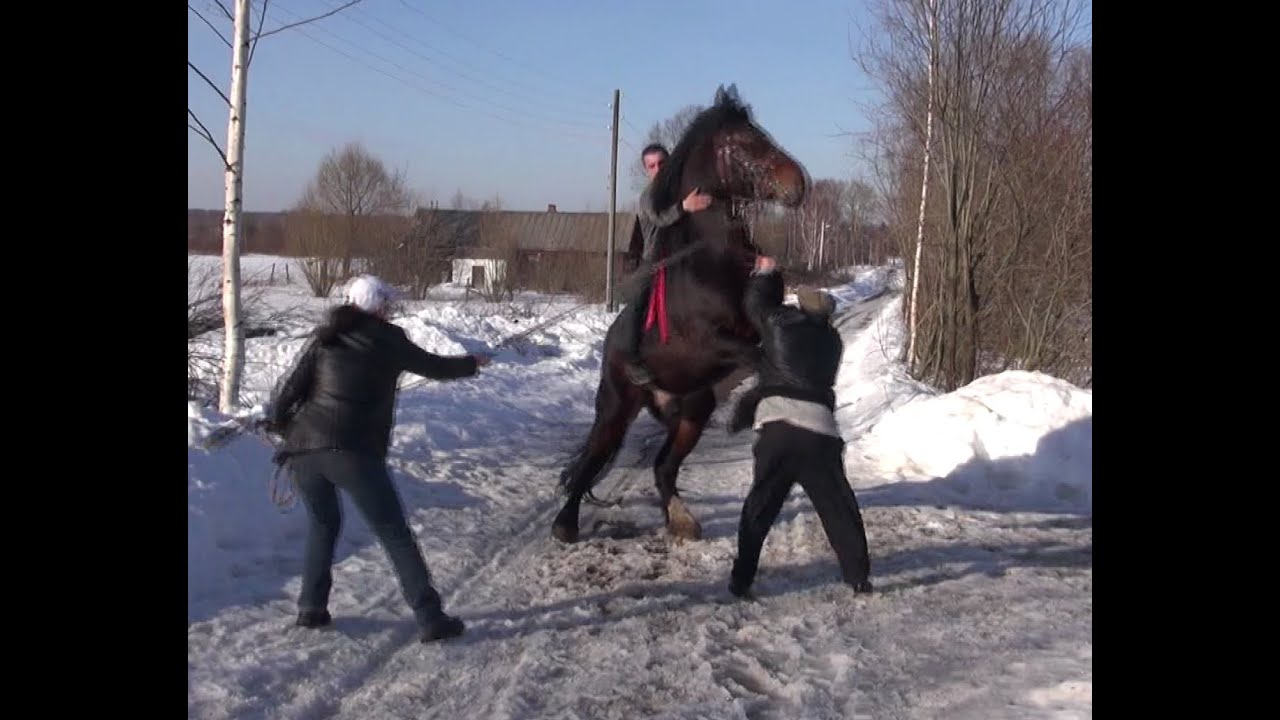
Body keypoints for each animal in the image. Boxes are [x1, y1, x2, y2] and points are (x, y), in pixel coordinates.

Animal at [551, 84, 809, 544]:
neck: (718, 256)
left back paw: (682, 521)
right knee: (591, 462)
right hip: (617, 407)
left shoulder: (760, 321)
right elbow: (762, 357)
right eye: (741, 142)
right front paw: (749, 410)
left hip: (693, 410)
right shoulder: (715, 340)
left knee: (663, 466)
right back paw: (564, 525)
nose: (797, 184)